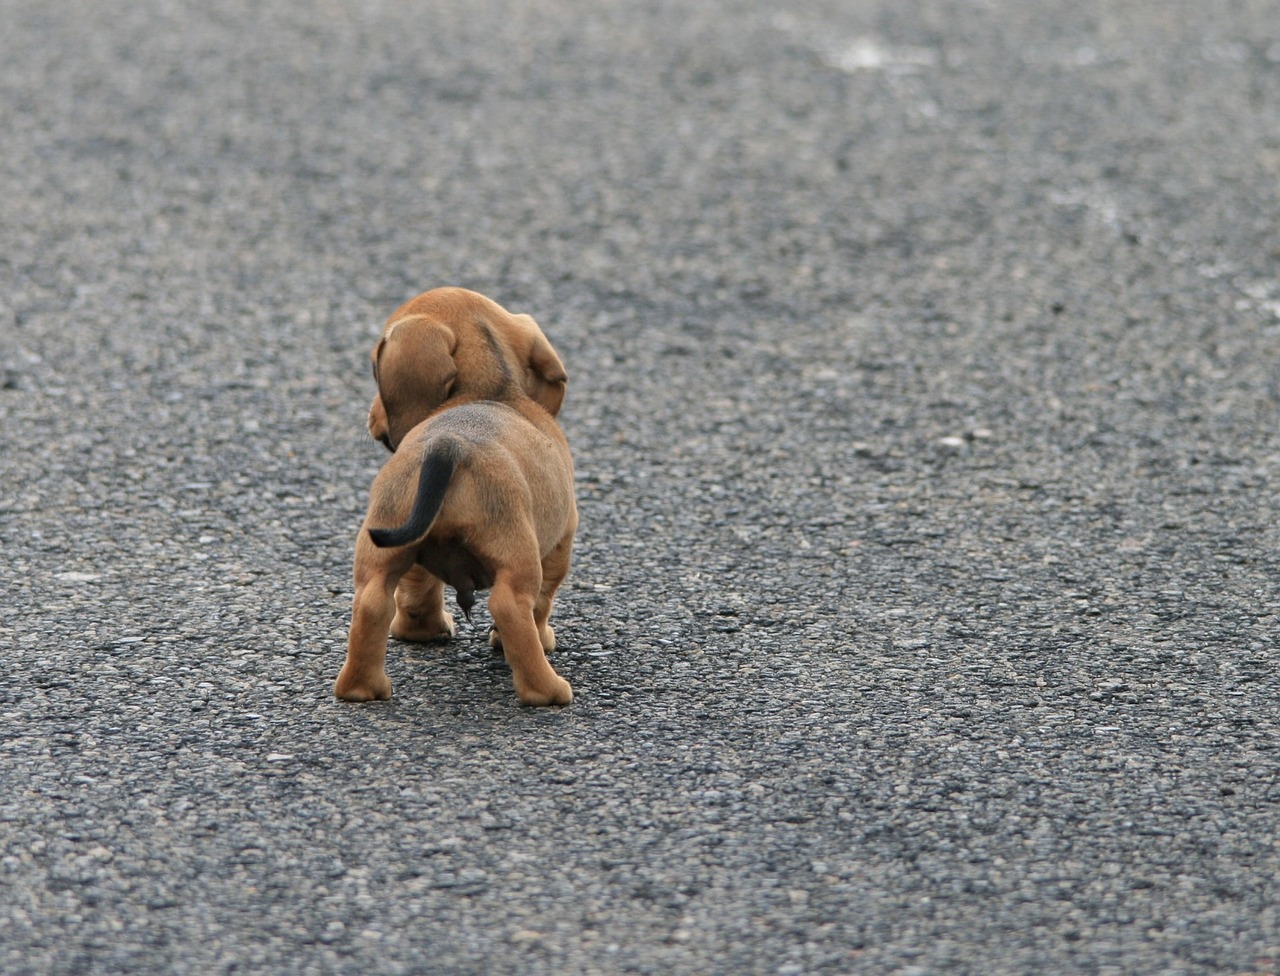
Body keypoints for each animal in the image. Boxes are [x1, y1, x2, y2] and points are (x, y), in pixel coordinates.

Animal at [335, 285, 576, 701]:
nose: (370, 417)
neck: (489, 390)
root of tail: (449, 446)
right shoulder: (561, 541)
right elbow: (543, 600)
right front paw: (542, 638)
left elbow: (418, 590)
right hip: (517, 555)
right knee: (511, 607)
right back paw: (549, 690)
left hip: (383, 546)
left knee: (372, 605)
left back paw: (363, 688)